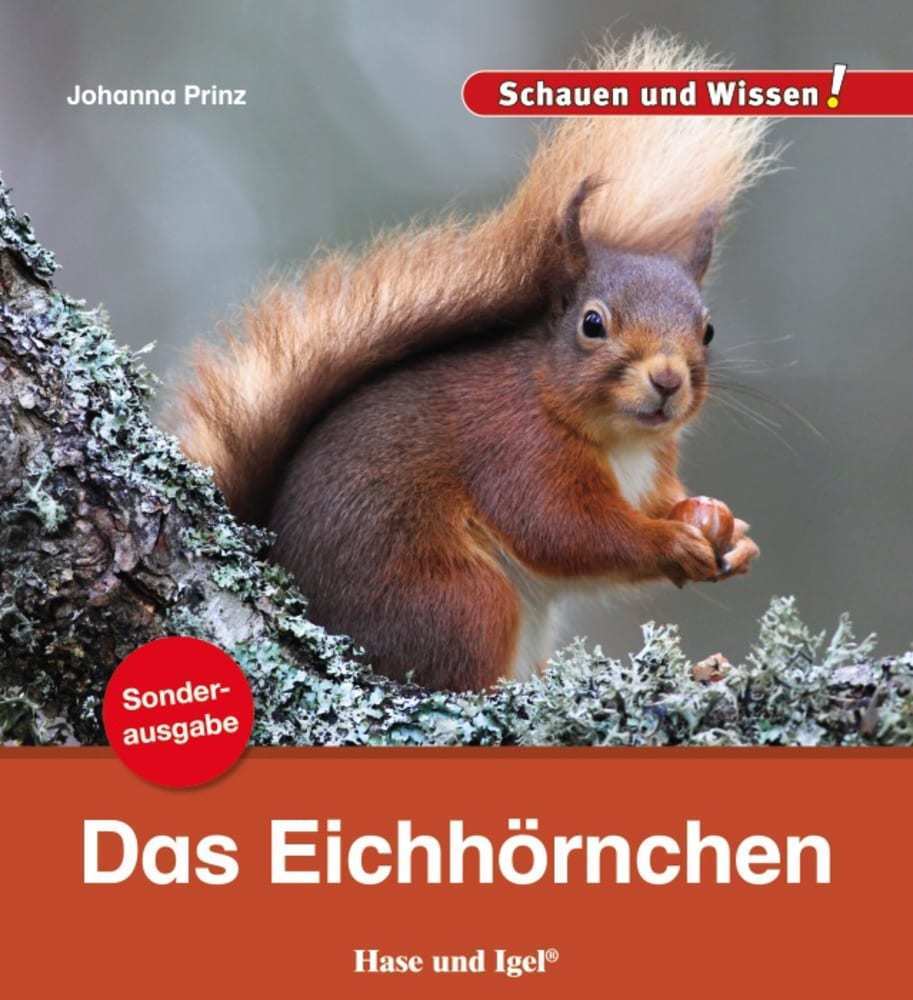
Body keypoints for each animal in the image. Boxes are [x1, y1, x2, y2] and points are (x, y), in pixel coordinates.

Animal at [169, 34, 773, 691]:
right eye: (592, 324)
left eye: (708, 329)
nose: (667, 379)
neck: (620, 441)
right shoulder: (516, 451)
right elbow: (565, 531)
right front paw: (669, 542)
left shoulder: (651, 468)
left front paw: (720, 525)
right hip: (461, 600)